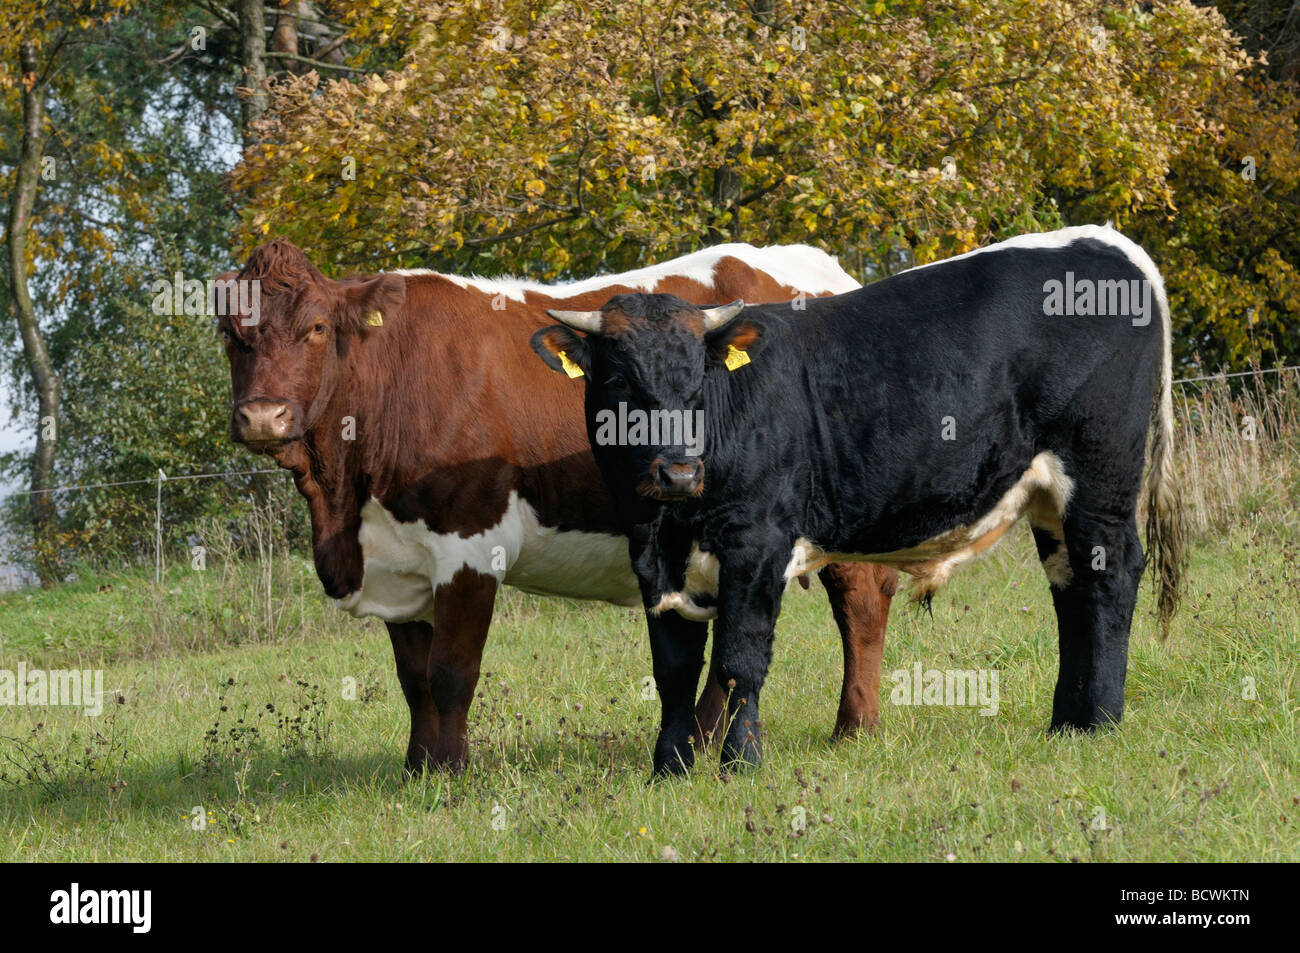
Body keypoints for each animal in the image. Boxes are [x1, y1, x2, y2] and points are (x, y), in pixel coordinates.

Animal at [219, 238, 898, 773]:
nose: (262, 416)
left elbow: (451, 672)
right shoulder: (394, 553)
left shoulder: (471, 540)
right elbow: (414, 681)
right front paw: (416, 770)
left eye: (315, 328)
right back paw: (704, 743)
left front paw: (450, 775)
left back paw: (853, 727)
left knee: (861, 601)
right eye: (231, 334)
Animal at [531, 225, 1188, 776]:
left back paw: (1099, 723)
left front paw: (742, 763)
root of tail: (1106, 241)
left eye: (697, 383)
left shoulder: (758, 544)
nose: (678, 471)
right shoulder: (654, 556)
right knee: (1070, 586)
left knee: (1110, 576)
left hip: (1100, 474)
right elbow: (673, 669)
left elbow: (741, 659)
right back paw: (1064, 725)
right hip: (1052, 497)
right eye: (619, 381)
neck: (673, 519)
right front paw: (669, 769)